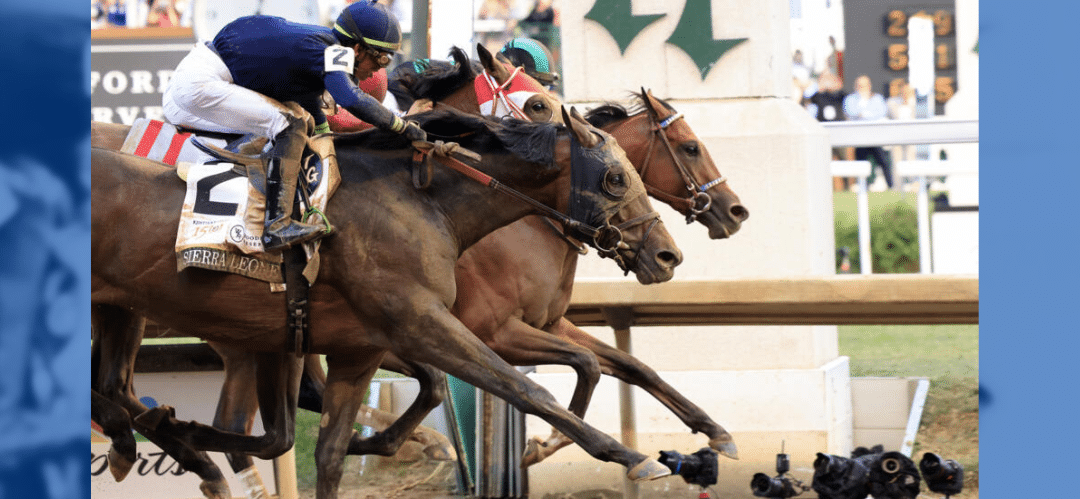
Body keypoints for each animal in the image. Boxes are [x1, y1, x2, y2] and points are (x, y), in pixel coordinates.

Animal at [95, 107, 682, 496]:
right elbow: (527, 389)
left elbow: (328, 453)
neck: (423, 203)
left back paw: (162, 439)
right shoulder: (426, 323)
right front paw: (632, 457)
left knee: (120, 388)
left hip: (131, 313)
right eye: (615, 178)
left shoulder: (357, 348)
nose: (667, 254)